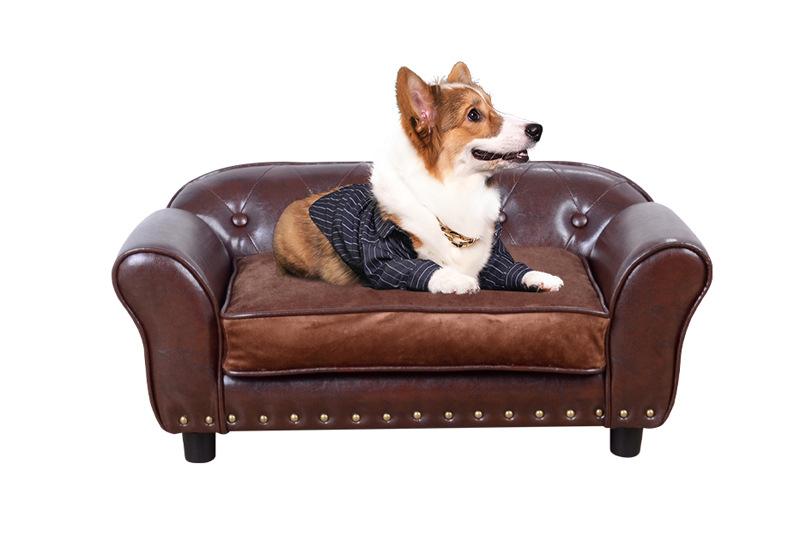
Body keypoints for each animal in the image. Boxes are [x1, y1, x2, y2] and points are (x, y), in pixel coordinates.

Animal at [272, 62, 563, 294]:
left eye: (493, 104)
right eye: (473, 114)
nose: (538, 129)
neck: (459, 191)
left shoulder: (493, 257)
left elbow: (511, 267)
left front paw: (541, 277)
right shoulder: (381, 257)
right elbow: (421, 267)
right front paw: (459, 280)